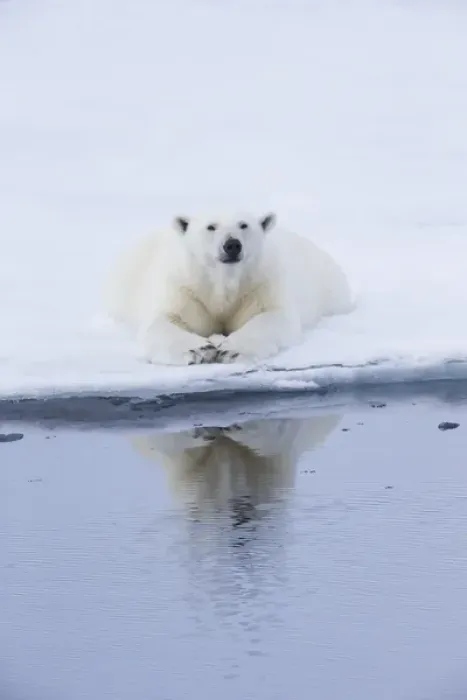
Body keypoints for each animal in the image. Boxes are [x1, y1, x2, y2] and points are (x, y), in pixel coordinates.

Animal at [105, 211, 352, 366]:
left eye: (244, 224)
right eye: (211, 227)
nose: (232, 245)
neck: (223, 281)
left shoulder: (260, 283)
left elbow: (273, 316)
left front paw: (230, 351)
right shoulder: (183, 286)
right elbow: (163, 321)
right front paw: (199, 350)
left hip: (330, 286)